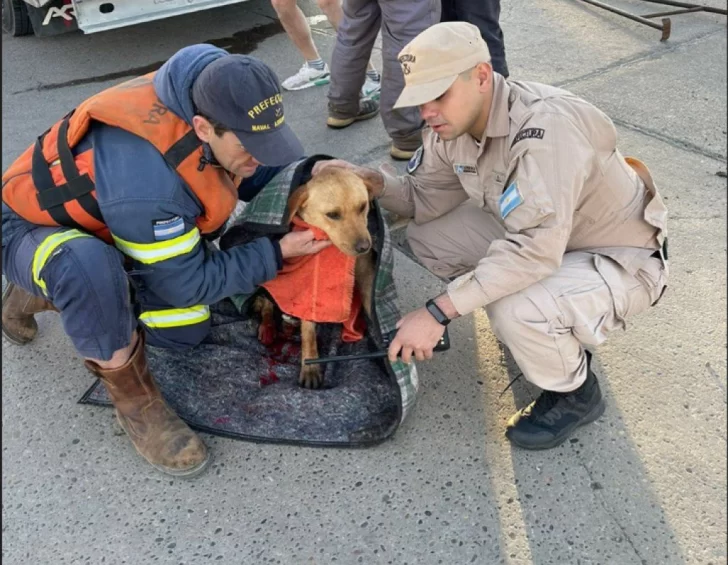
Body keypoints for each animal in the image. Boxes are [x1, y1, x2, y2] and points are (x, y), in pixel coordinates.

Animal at [253, 167, 376, 388]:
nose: (365, 247)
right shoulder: (310, 289)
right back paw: (267, 327)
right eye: (333, 215)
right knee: (266, 305)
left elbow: (372, 303)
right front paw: (310, 366)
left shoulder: (366, 277)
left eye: (363, 206)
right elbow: (309, 334)